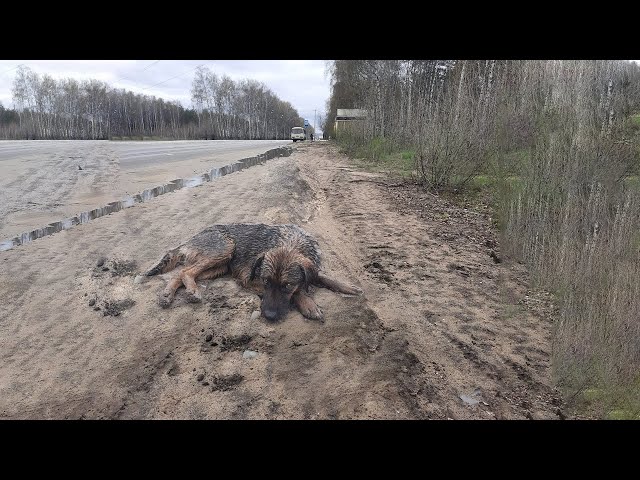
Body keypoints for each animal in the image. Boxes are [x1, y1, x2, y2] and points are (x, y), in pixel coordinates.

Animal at [141, 223, 360, 320]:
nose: (269, 316)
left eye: (287, 285)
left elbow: (321, 276)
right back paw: (189, 292)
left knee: (183, 273)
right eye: (265, 282)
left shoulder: (311, 266)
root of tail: (190, 239)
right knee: (185, 271)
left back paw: (169, 293)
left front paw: (347, 286)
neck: (292, 243)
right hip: (224, 249)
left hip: (219, 267)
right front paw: (309, 304)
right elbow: (300, 291)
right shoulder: (247, 278)